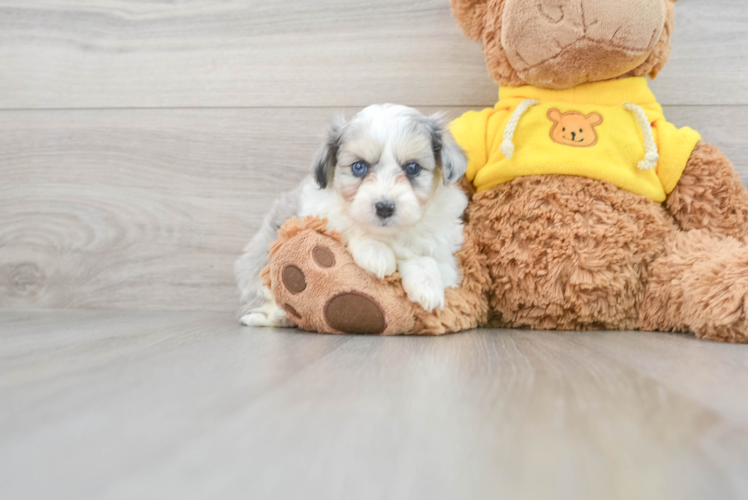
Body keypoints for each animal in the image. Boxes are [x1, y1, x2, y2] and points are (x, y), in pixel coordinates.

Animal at [234, 103, 468, 326]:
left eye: (412, 168)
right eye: (359, 167)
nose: (384, 207)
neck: (388, 234)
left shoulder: (445, 255)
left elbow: (425, 258)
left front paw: (427, 286)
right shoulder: (317, 214)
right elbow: (348, 227)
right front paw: (376, 253)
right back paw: (277, 316)